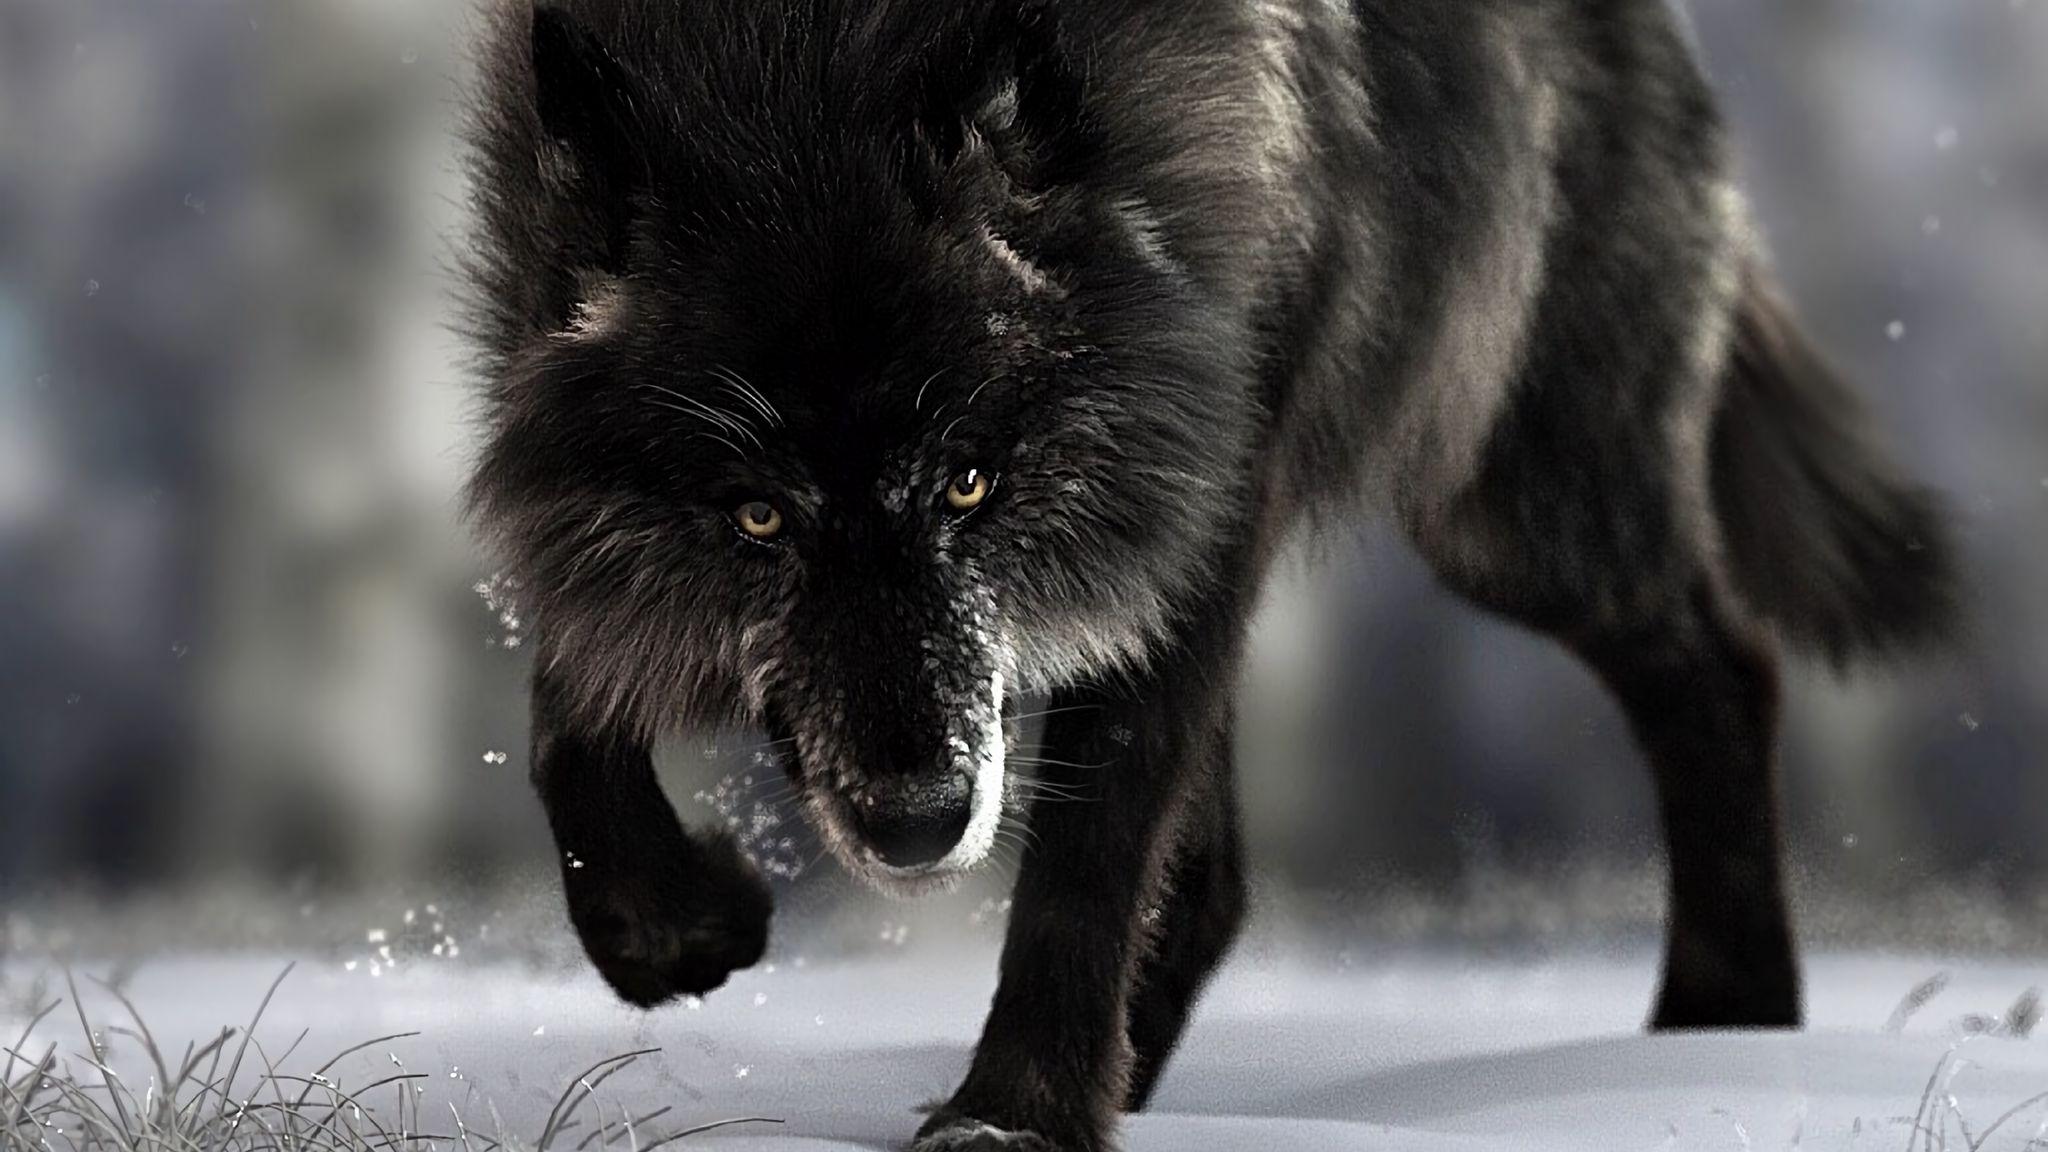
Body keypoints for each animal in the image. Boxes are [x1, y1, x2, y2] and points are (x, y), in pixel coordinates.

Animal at [460, 1, 1957, 1147]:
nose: (917, 824)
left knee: (1723, 668)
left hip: (1514, 508)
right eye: (759, 519)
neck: (800, 55)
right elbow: (567, 710)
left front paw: (1012, 1122)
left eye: (968, 483)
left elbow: (1087, 861)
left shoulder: (1199, 496)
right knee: (1223, 879)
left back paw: (1721, 1040)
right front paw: (674, 924)